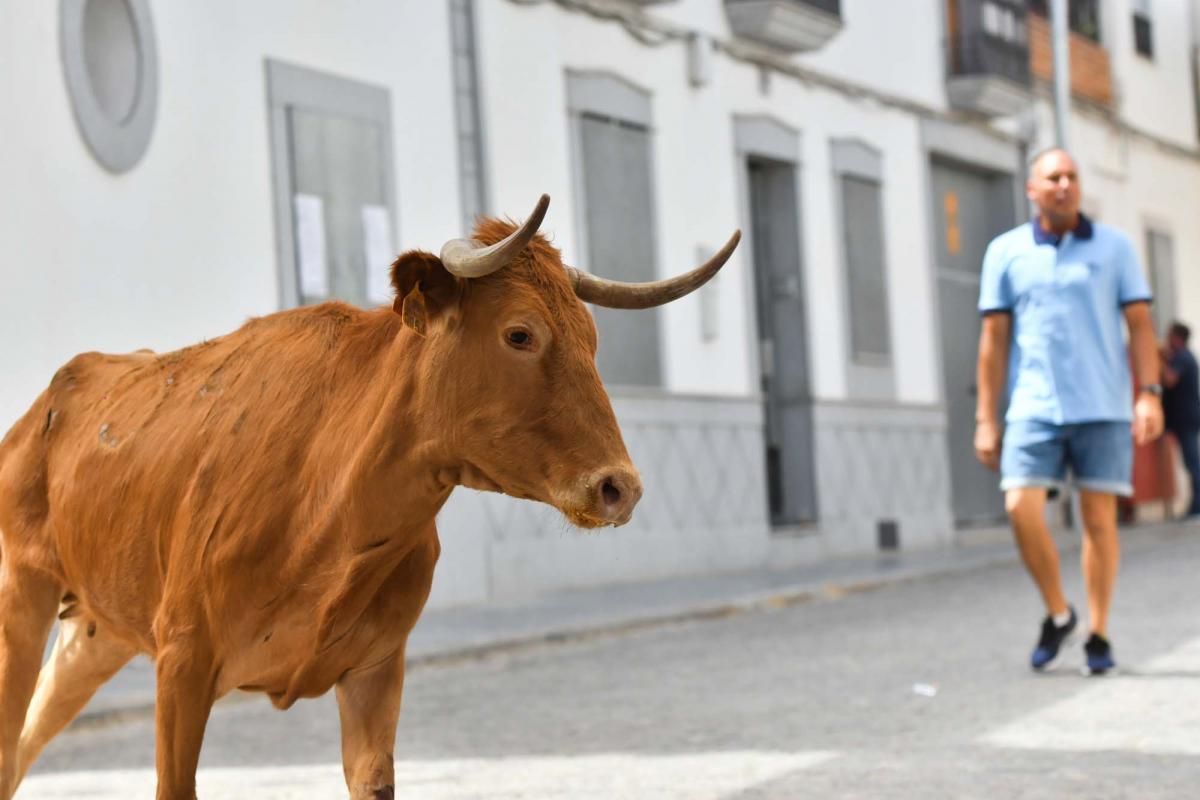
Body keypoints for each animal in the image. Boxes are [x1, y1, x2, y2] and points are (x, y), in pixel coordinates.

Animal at [0, 195, 739, 800]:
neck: (324, 510)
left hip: (94, 631)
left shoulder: (377, 670)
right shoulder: (183, 663)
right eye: (520, 333)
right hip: (22, 598)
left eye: (593, 338)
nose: (620, 487)